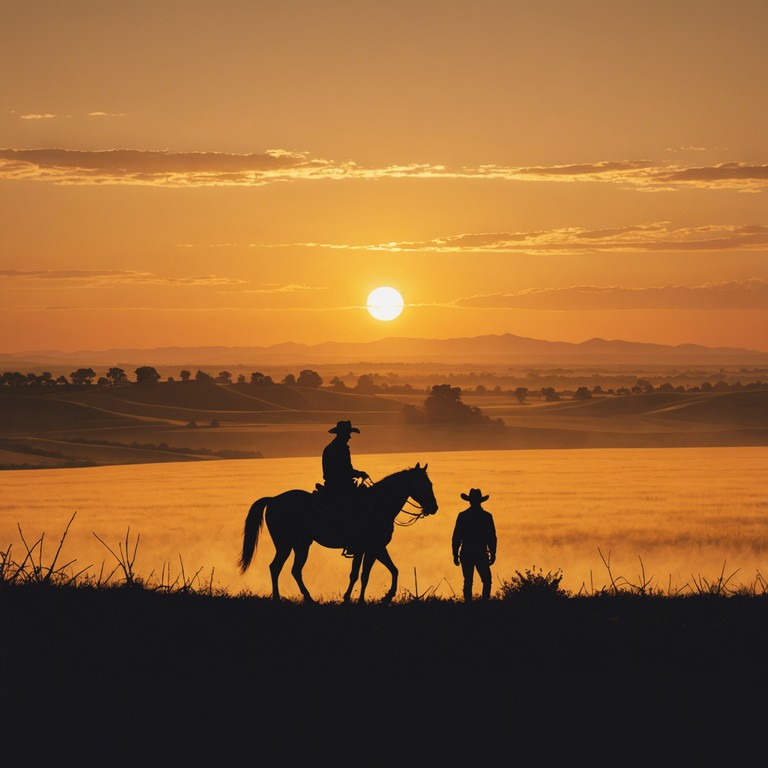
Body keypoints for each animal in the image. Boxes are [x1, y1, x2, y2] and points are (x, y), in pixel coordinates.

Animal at [237, 464, 438, 604]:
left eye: (430, 483)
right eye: (423, 484)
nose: (434, 507)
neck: (378, 506)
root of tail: (273, 500)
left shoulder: (374, 548)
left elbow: (381, 572)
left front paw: (375, 598)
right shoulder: (368, 548)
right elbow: (358, 575)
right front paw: (353, 599)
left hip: (299, 545)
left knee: (290, 570)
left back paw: (306, 599)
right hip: (287, 545)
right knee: (277, 568)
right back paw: (283, 598)